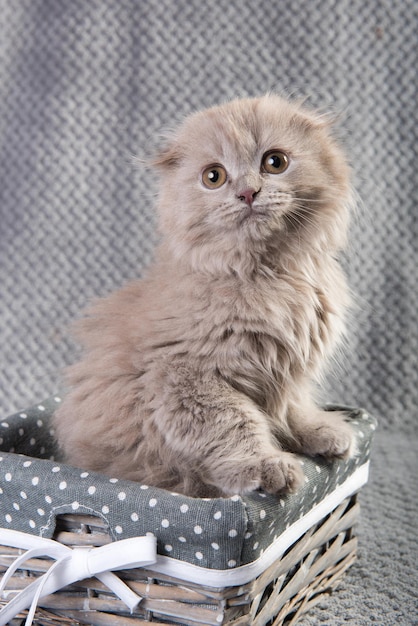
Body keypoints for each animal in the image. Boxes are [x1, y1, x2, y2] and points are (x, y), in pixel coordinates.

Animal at [51, 94, 356, 498]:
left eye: (274, 162)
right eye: (214, 177)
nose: (248, 192)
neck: (268, 274)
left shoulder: (288, 371)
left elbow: (294, 407)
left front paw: (321, 430)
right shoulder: (187, 377)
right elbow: (235, 424)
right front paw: (266, 466)